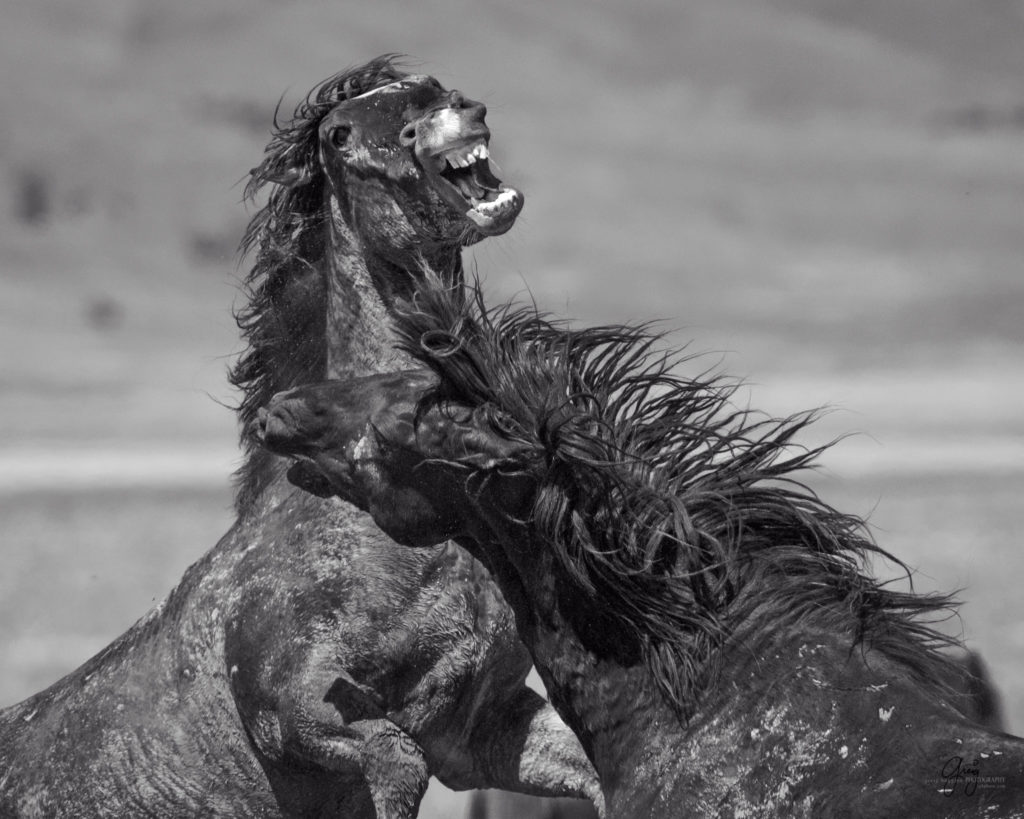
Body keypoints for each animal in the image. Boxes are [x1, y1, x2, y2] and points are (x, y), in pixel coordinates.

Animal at [0, 59, 598, 818]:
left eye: (434, 88)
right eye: (345, 134)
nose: (462, 113)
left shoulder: (480, 732)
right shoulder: (293, 703)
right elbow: (393, 758)